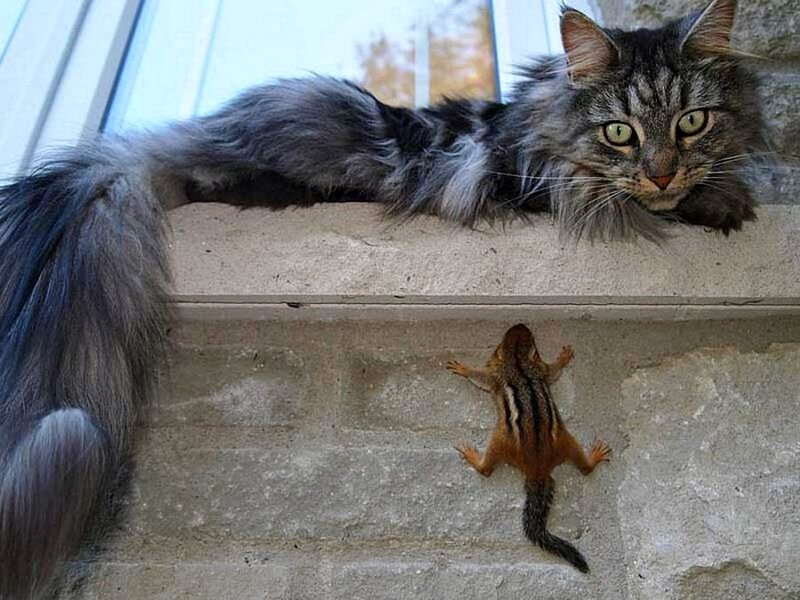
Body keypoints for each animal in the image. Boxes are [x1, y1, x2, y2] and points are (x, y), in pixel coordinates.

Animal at [446, 323, 610, 573]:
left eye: (530, 338)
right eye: (514, 332)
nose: (521, 324)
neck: (517, 360)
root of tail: (538, 469)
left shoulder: (496, 376)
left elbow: (480, 377)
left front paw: (463, 368)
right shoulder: (538, 369)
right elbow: (553, 371)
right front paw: (563, 358)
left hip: (500, 439)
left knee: (487, 470)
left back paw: (473, 456)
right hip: (567, 441)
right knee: (583, 467)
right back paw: (594, 456)